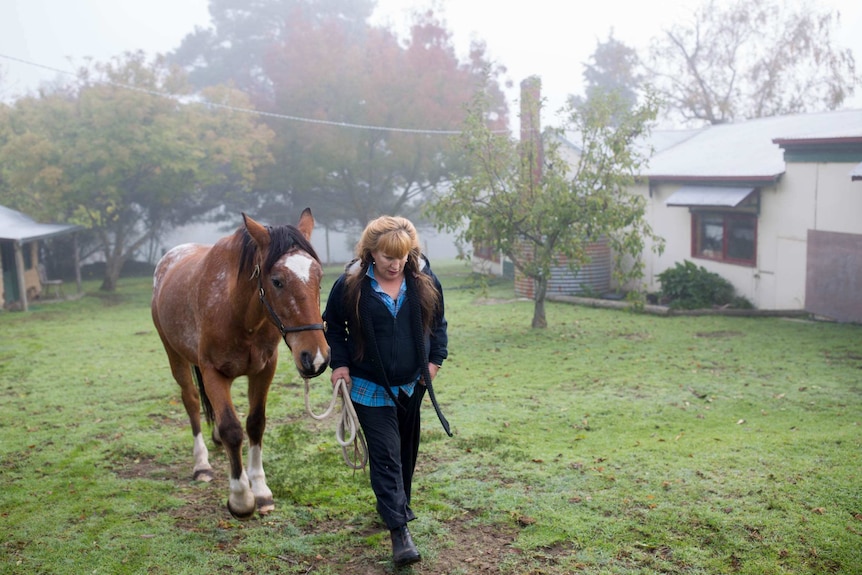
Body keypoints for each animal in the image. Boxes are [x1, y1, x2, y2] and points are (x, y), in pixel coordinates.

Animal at [150, 209, 330, 520]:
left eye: (318, 277)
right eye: (277, 280)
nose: (315, 357)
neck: (236, 309)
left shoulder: (265, 369)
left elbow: (255, 424)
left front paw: (260, 489)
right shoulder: (212, 371)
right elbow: (232, 429)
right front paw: (241, 497)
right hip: (175, 355)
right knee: (192, 401)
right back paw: (202, 464)